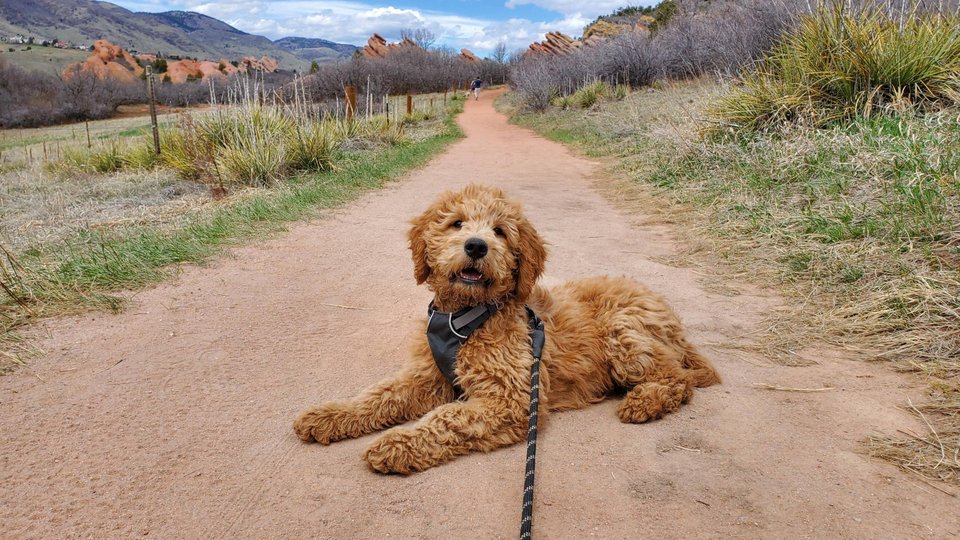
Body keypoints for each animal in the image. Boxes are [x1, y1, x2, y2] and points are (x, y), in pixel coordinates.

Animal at [294, 185, 720, 472]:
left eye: (499, 230)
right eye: (456, 223)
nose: (476, 246)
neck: (465, 318)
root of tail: (668, 313)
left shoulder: (513, 398)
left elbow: (447, 418)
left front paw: (397, 443)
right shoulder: (427, 376)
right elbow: (378, 395)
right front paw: (329, 416)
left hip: (624, 334)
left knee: (678, 377)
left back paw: (644, 401)